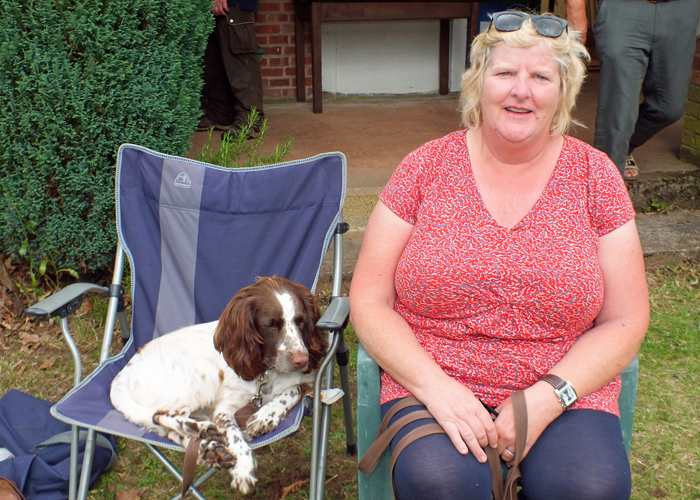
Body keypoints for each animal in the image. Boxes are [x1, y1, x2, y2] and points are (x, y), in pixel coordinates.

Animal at [110, 276, 328, 494]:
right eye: (271, 325)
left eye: (302, 322)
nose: (302, 360)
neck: (266, 373)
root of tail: (123, 374)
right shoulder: (223, 409)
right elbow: (233, 433)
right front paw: (244, 468)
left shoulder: (313, 380)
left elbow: (291, 391)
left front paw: (265, 416)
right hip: (203, 372)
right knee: (162, 415)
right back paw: (201, 429)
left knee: (168, 429)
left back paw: (208, 447)